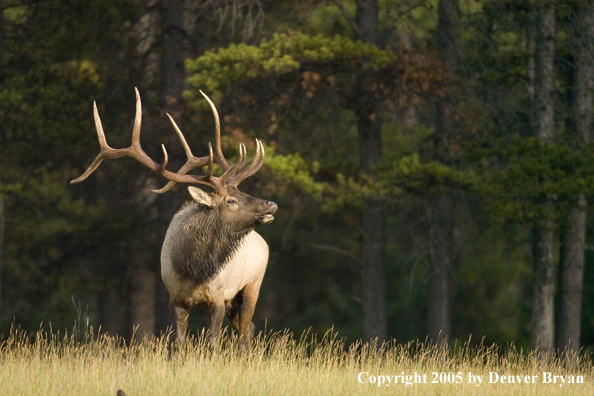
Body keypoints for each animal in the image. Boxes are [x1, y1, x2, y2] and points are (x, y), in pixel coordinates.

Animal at [71, 89, 276, 350]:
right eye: (231, 200)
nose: (271, 204)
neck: (193, 270)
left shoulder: (218, 297)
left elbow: (213, 343)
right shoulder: (175, 297)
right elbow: (179, 343)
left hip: (252, 284)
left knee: (243, 332)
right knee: (247, 328)